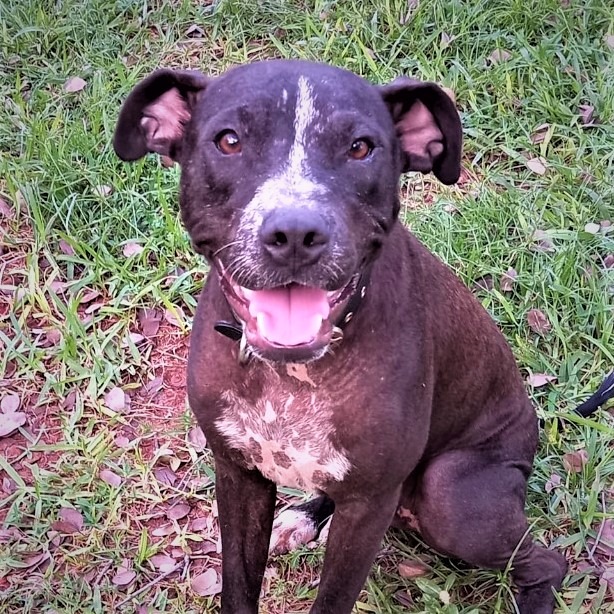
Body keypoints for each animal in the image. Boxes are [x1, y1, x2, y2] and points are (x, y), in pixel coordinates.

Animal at [113, 60, 610, 613]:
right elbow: (238, 585)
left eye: (360, 148)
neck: (291, 374)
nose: (294, 234)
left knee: (547, 561)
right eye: (229, 141)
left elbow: (332, 598)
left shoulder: (368, 507)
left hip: (450, 498)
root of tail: (536, 425)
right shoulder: (238, 474)